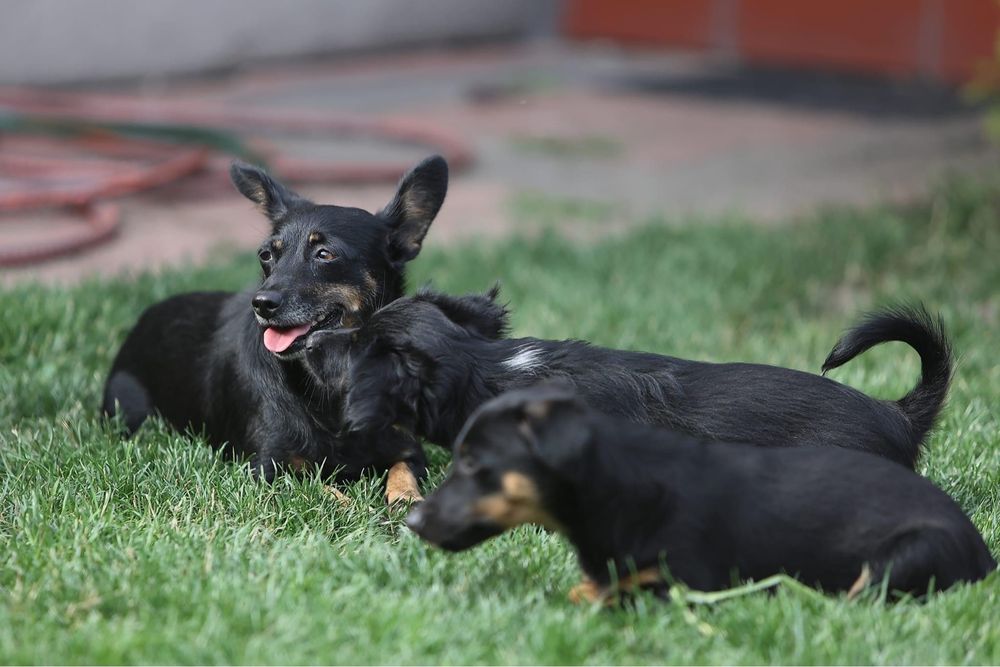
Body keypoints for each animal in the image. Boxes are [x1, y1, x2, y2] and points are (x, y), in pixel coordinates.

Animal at [103, 155, 448, 500]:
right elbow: (321, 488)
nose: (261, 303)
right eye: (265, 255)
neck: (327, 385)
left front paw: (407, 499)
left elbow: (402, 472)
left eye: (325, 254)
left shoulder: (409, 450)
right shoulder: (268, 469)